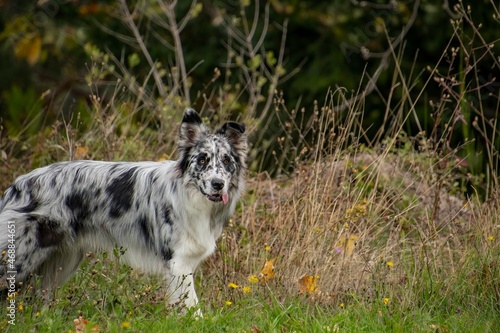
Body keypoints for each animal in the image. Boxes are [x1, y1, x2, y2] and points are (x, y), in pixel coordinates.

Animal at [0, 108, 246, 312]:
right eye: (202, 160)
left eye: (226, 161)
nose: (217, 184)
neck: (191, 195)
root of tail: (16, 186)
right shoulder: (178, 262)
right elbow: (193, 309)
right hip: (21, 258)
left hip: (60, 261)